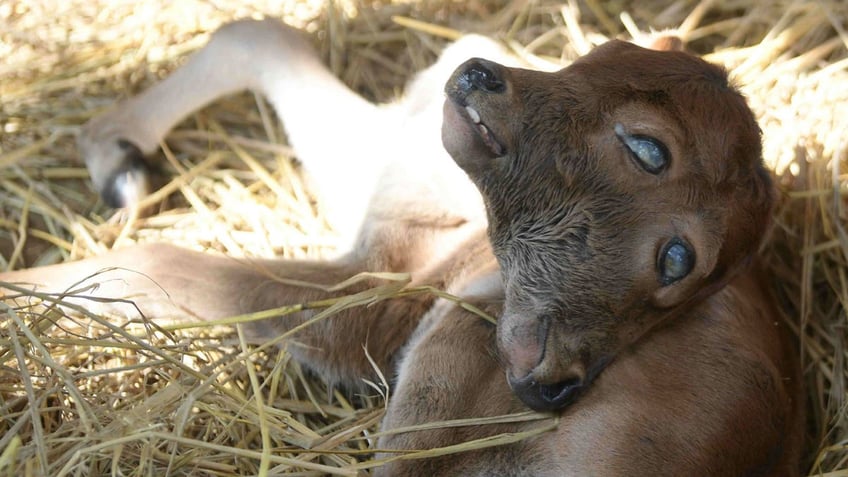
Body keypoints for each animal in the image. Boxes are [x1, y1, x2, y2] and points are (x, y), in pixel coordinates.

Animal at [1, 17, 800, 472]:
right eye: (605, 48)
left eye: (677, 259)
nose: (549, 379)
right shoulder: (383, 178)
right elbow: (258, 35)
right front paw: (115, 154)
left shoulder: (379, 298)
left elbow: (159, 263)